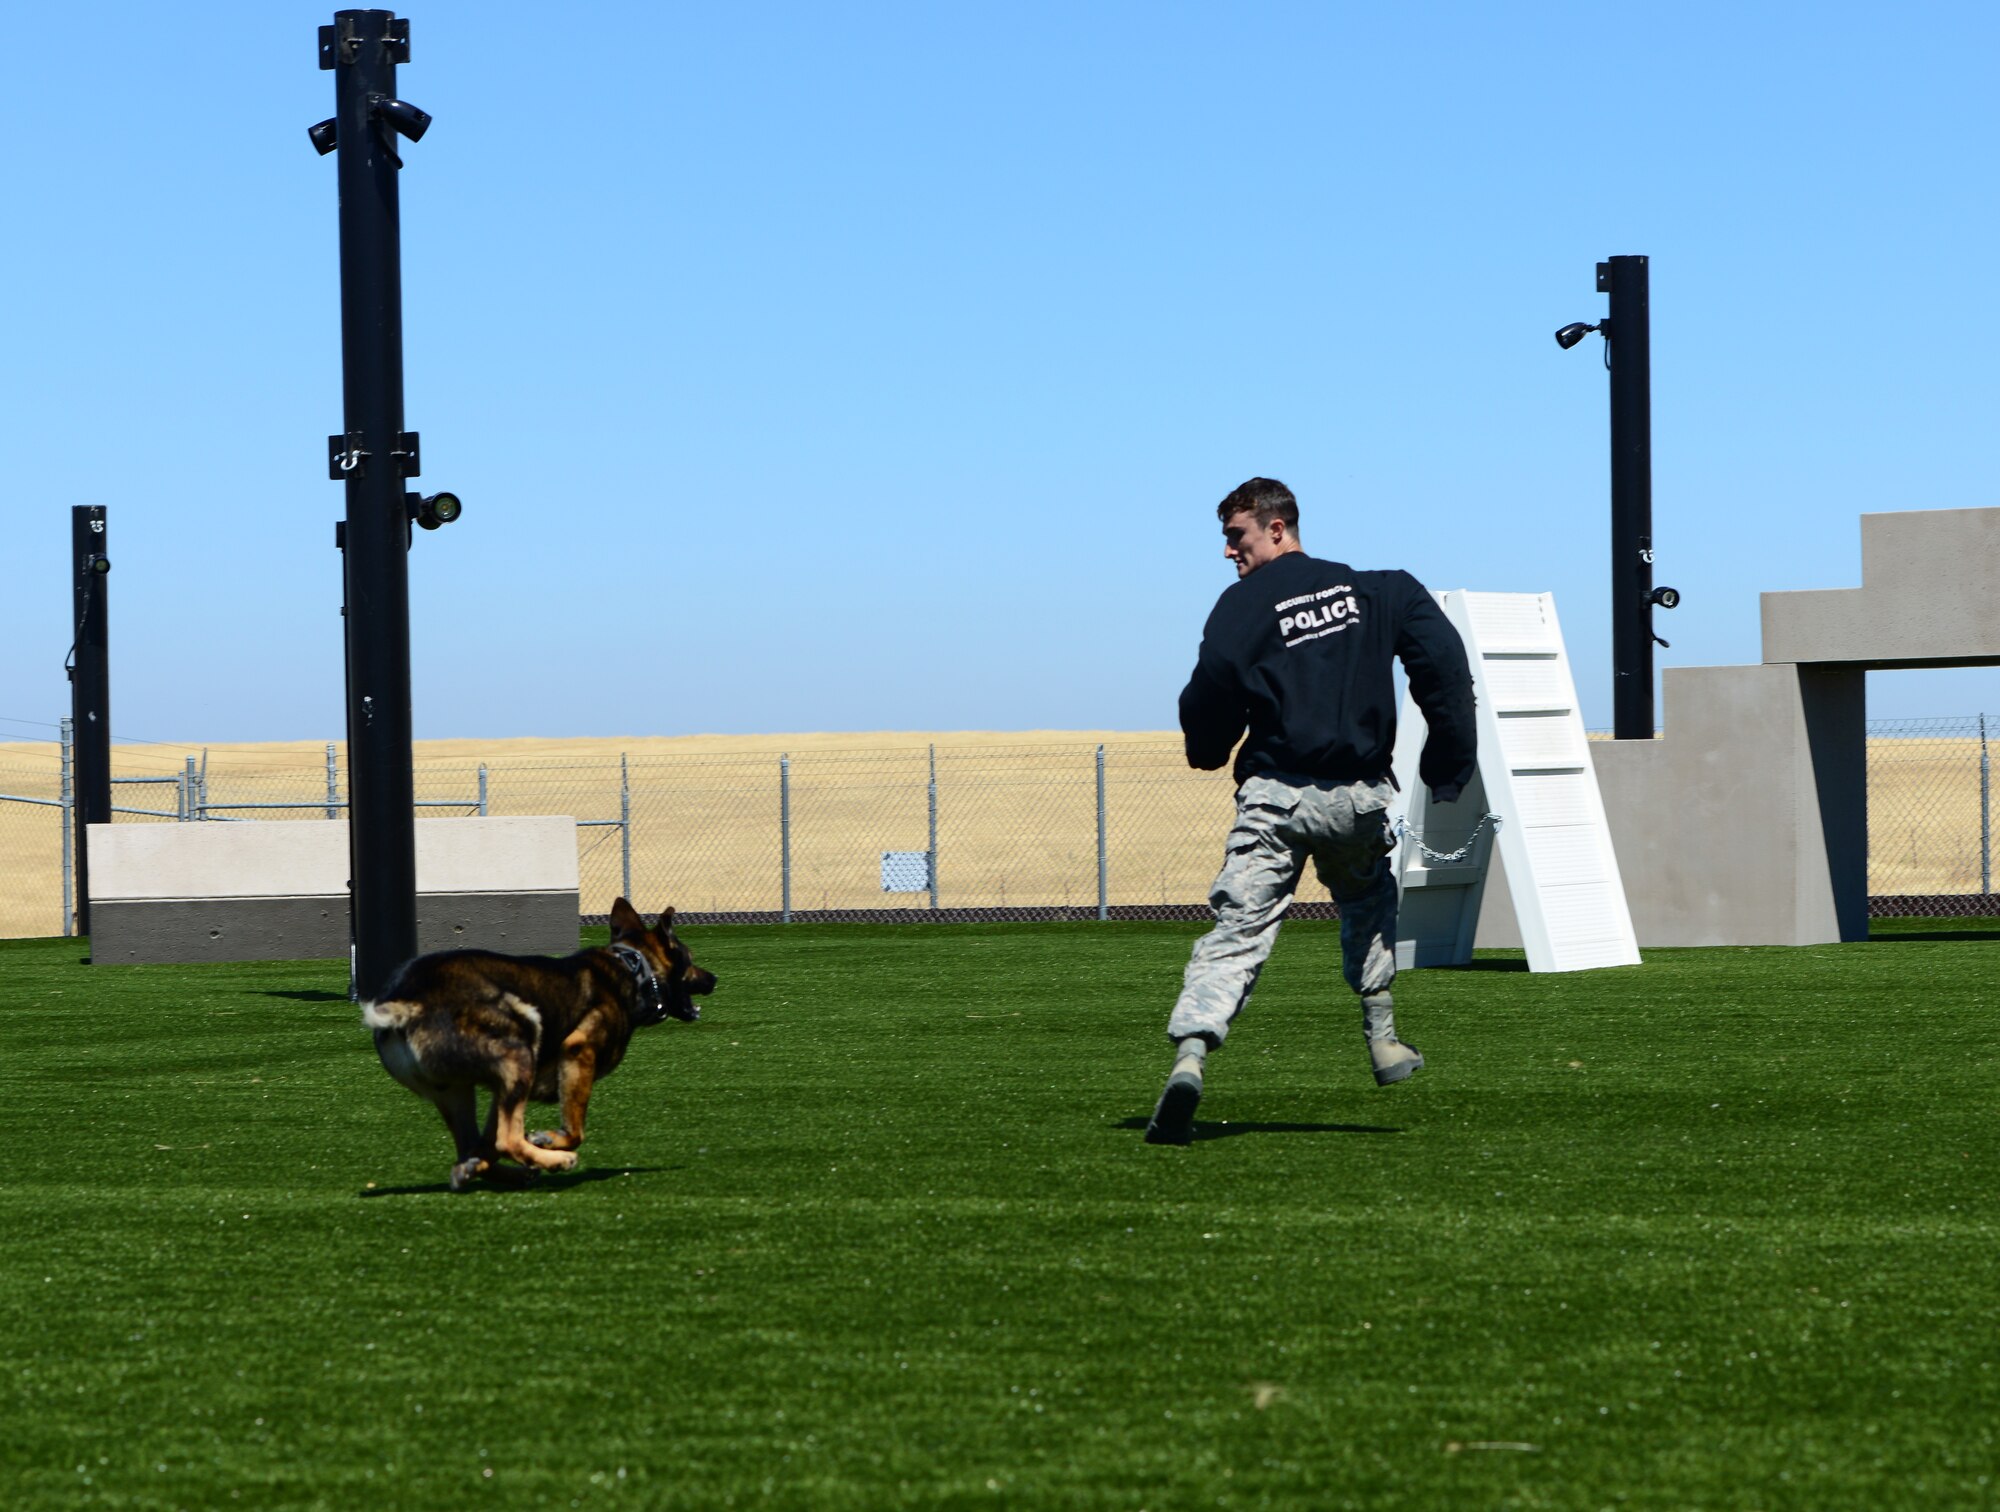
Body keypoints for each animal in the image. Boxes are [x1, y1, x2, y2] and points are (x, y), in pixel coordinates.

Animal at [364, 904, 716, 1184]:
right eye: (690, 959)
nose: (713, 979)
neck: (634, 969)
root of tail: (406, 999)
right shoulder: (578, 1049)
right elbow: (574, 1130)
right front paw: (548, 1140)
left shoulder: (501, 1090)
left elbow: (485, 1144)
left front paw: (477, 1166)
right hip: (520, 1048)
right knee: (508, 1140)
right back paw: (555, 1162)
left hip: (459, 1090)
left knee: (472, 1144)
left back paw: (500, 1171)